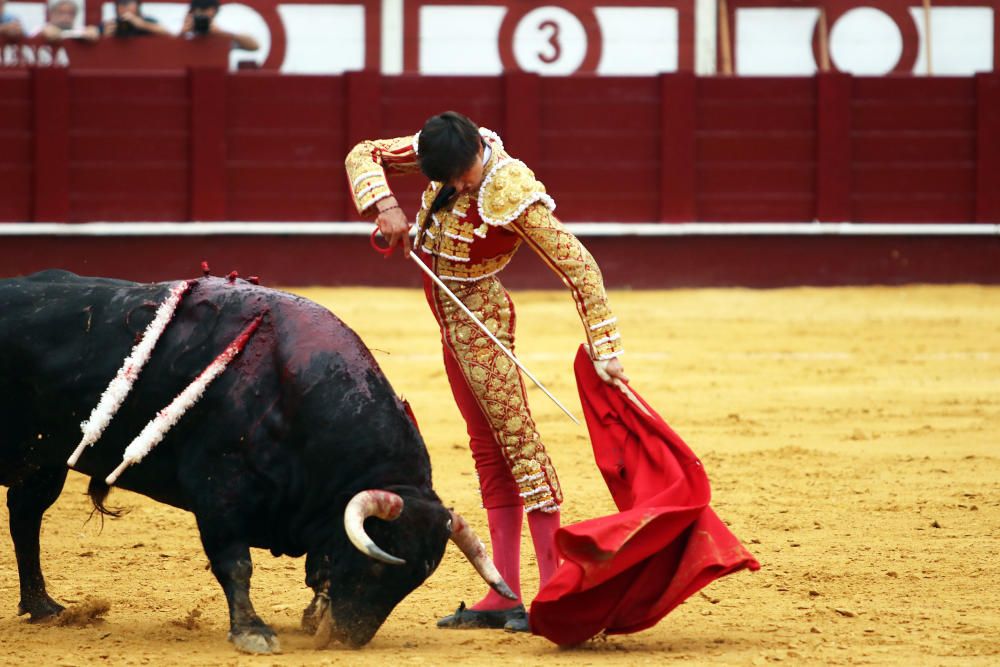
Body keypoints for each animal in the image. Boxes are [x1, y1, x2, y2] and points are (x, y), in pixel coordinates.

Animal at [0, 272, 512, 652]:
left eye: (413, 582)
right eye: (377, 567)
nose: (348, 638)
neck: (289, 394)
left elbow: (318, 566)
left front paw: (310, 615)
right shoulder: (219, 492)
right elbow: (236, 563)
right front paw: (252, 632)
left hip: (43, 463)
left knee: (26, 519)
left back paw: (43, 606)